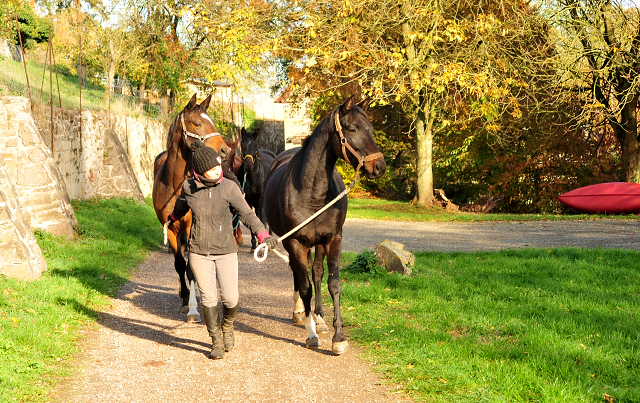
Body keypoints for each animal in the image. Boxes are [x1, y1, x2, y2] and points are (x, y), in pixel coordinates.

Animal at [152, 94, 228, 322]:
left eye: (212, 121)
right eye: (197, 123)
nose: (225, 150)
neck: (174, 185)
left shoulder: (191, 228)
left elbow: (192, 268)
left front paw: (195, 306)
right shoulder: (171, 228)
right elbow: (179, 265)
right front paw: (186, 299)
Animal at [262, 96, 384, 356]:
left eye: (370, 128)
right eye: (352, 129)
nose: (380, 166)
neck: (310, 193)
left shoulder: (333, 239)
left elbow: (333, 284)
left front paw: (338, 337)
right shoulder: (295, 242)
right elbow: (305, 286)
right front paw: (310, 334)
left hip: (318, 243)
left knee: (316, 273)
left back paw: (318, 317)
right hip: (293, 244)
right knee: (298, 274)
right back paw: (301, 312)